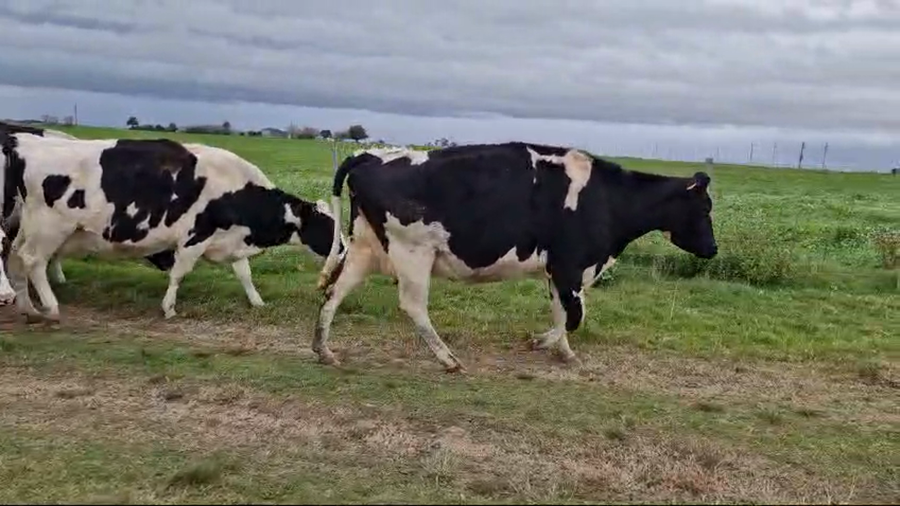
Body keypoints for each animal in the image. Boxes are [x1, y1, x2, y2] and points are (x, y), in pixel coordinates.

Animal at [1, 131, 344, 322]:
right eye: (328, 226)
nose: (343, 249)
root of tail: (24, 144)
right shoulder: (194, 237)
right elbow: (179, 274)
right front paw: (168, 308)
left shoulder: (229, 238)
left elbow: (244, 273)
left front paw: (257, 302)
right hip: (49, 228)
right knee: (33, 261)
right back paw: (50, 306)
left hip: (29, 227)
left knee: (15, 257)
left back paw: (26, 307)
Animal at [313, 142, 718, 372]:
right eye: (704, 208)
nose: (713, 249)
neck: (609, 198)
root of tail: (371, 155)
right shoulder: (569, 266)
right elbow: (573, 317)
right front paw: (541, 343)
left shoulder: (558, 273)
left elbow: (562, 313)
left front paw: (563, 354)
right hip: (413, 252)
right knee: (413, 306)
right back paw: (448, 359)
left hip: (366, 248)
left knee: (334, 292)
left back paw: (323, 350)